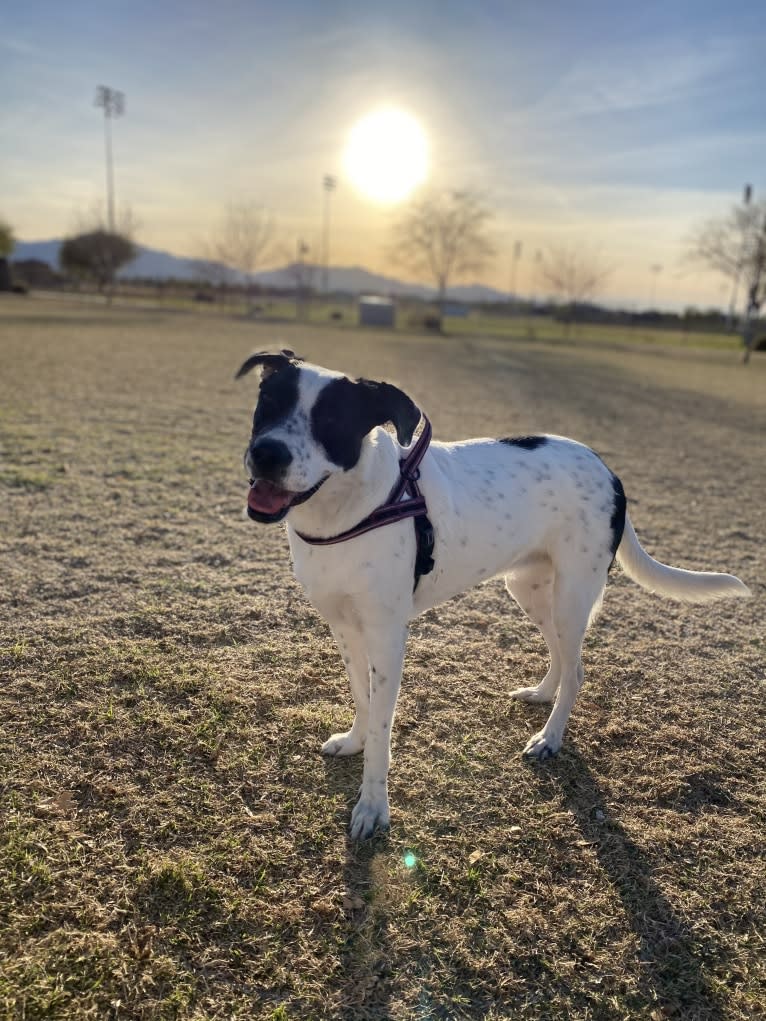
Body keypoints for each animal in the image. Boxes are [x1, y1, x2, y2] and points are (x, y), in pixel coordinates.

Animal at [236, 349, 751, 837]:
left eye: (332, 421)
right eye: (268, 405)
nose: (267, 454)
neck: (347, 507)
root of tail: (608, 469)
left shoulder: (387, 637)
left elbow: (383, 726)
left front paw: (373, 806)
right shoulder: (344, 627)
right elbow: (362, 698)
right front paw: (354, 741)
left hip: (572, 598)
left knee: (577, 670)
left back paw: (550, 738)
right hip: (529, 588)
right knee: (561, 658)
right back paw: (541, 694)